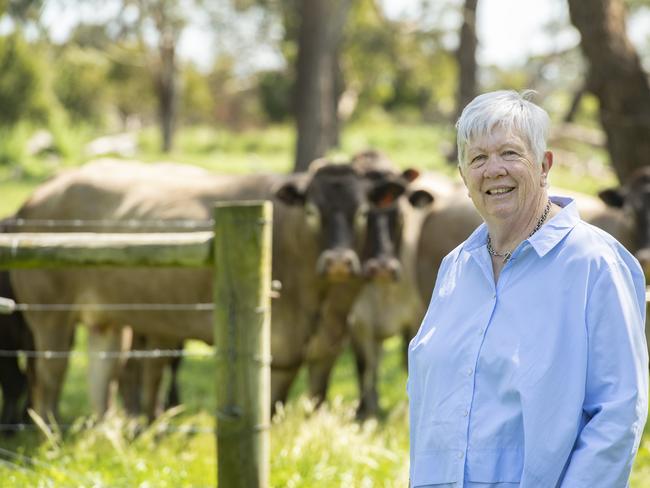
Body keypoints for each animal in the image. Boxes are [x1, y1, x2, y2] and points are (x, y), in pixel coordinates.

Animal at [7, 158, 408, 422]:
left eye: (362, 212)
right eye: (311, 211)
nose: (339, 261)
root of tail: (38, 196)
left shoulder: (327, 348)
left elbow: (314, 403)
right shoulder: (277, 351)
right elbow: (270, 412)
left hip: (105, 320)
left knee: (102, 376)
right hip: (50, 317)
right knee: (49, 376)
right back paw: (51, 435)